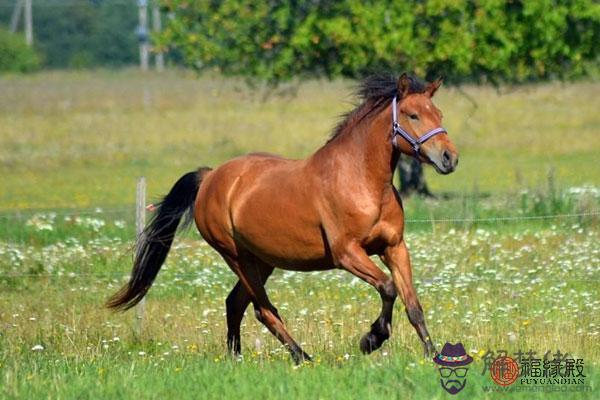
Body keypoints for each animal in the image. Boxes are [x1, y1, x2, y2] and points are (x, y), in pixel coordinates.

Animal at [108, 73, 460, 364]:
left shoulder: (394, 247)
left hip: (262, 260)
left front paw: (431, 355)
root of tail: (210, 177)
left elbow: (412, 304)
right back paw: (301, 356)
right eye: (413, 115)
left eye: (440, 114)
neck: (361, 181)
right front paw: (371, 339)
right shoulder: (347, 254)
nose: (449, 158)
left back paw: (237, 358)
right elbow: (387, 288)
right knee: (263, 310)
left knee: (235, 303)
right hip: (236, 257)